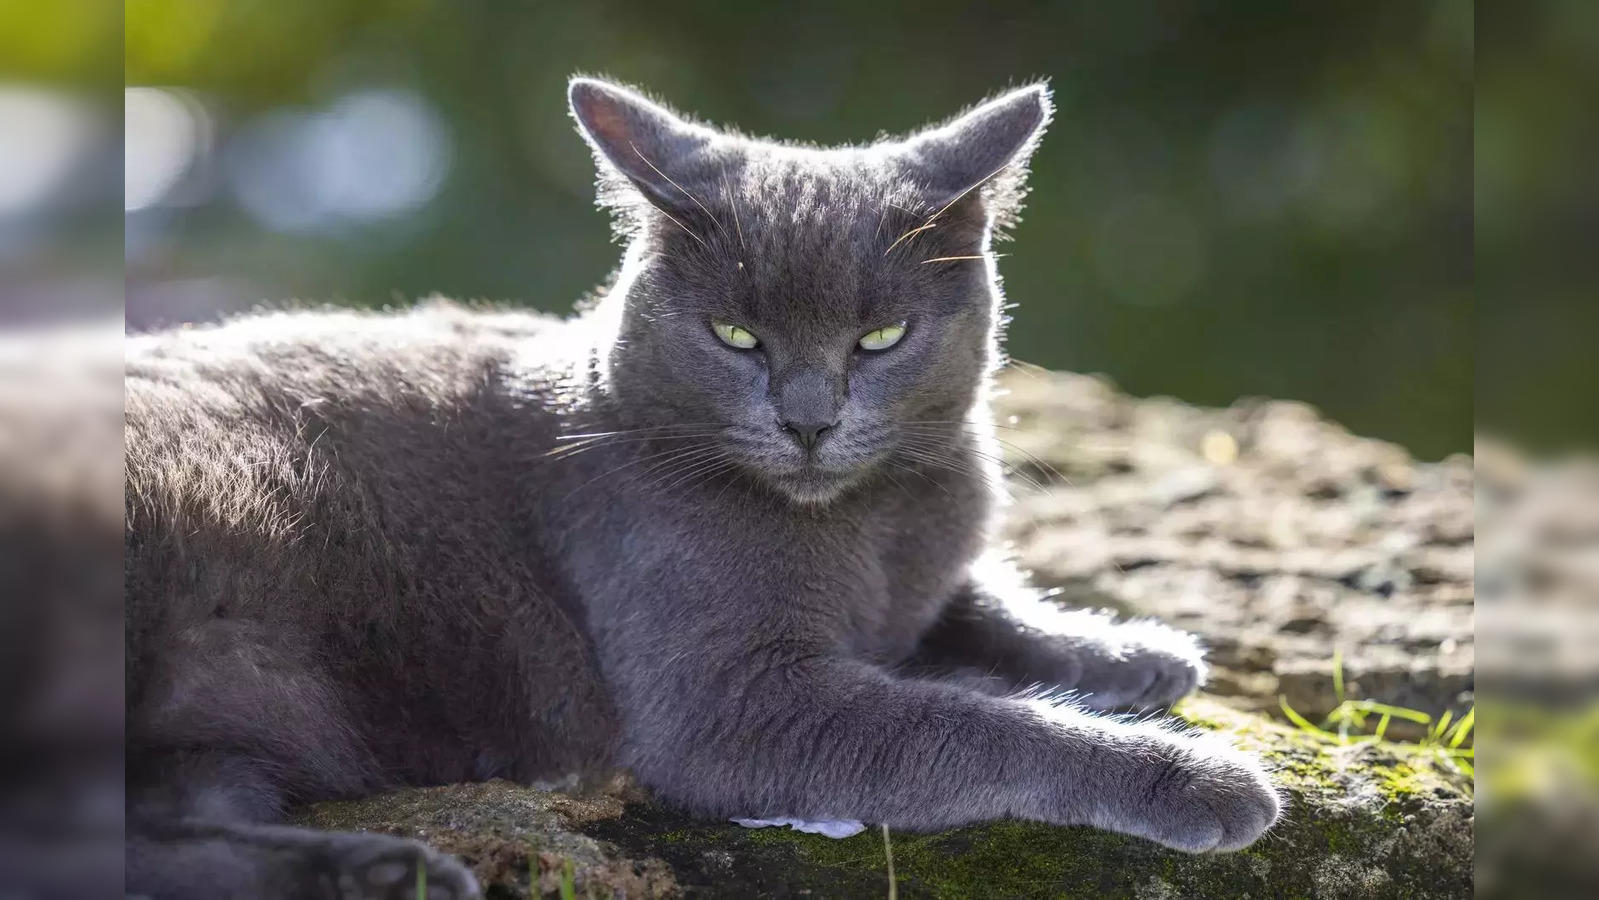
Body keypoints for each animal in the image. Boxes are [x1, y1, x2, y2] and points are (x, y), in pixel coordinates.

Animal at [121, 77, 1272, 900]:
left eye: (881, 336)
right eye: (735, 335)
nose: (808, 421)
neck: (868, 523)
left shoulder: (921, 568)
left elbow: (979, 604)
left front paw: (1133, 652)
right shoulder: (732, 702)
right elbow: (972, 722)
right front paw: (1192, 776)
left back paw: (377, 875)